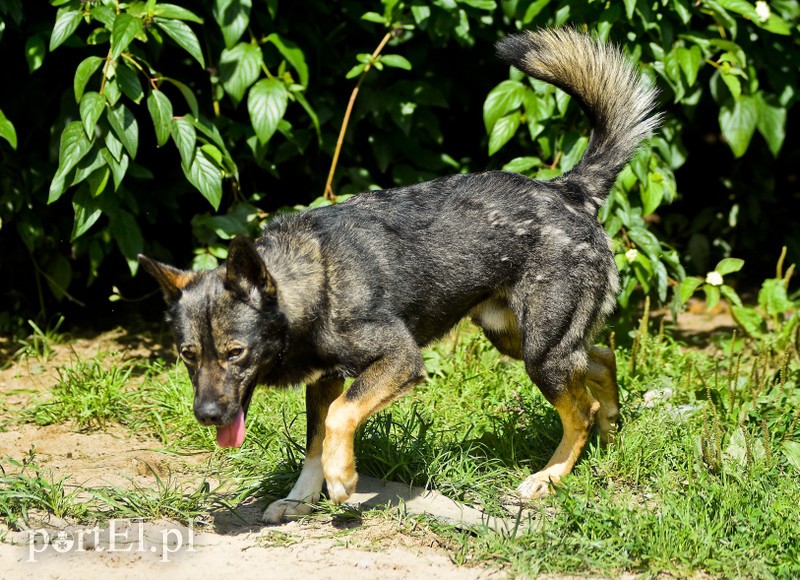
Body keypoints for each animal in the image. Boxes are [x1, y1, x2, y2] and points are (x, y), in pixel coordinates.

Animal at [139, 27, 664, 524]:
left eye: (235, 352)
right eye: (187, 355)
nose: (206, 416)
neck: (313, 281)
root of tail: (567, 189)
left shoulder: (398, 360)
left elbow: (339, 418)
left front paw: (342, 477)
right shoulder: (323, 380)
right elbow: (314, 441)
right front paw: (299, 500)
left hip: (541, 352)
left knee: (581, 408)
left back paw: (550, 477)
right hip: (517, 338)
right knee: (602, 358)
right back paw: (610, 435)